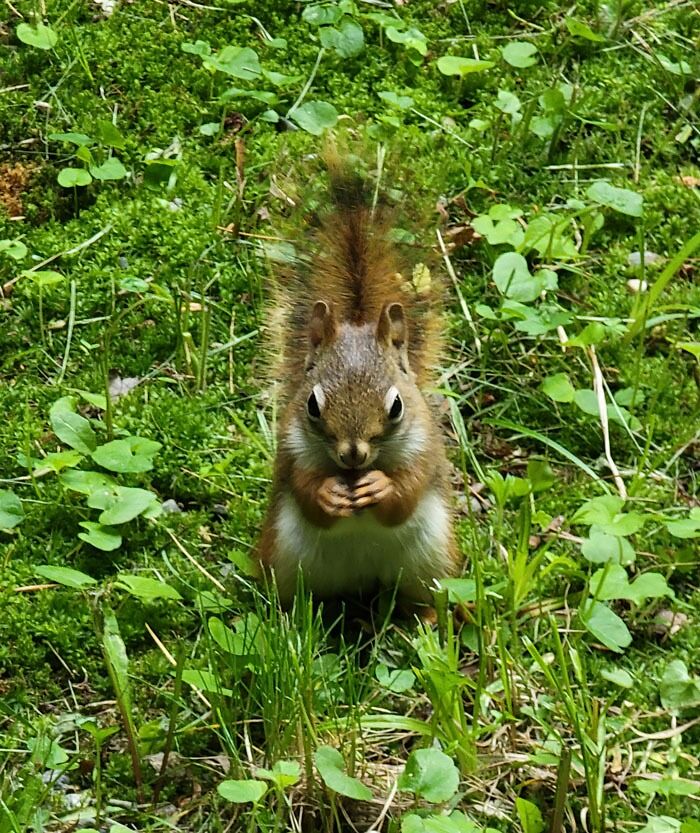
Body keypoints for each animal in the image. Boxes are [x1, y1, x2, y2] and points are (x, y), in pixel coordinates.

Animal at [257, 154, 458, 611]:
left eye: (397, 406)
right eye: (312, 405)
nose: (353, 454)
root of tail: (362, 581)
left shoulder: (426, 449)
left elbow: (405, 495)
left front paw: (380, 486)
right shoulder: (290, 451)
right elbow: (305, 493)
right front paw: (328, 494)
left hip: (433, 561)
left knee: (424, 598)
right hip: (284, 559)